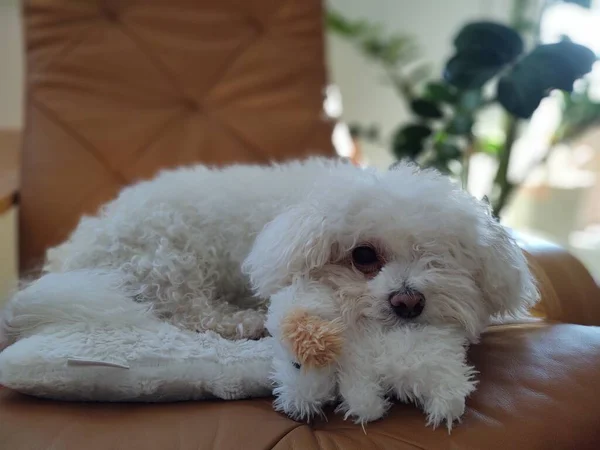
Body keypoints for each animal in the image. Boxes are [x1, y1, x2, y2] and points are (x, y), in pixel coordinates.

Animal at [0, 159, 536, 428]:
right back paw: (247, 319)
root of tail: (74, 253)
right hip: (167, 255)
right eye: (363, 255)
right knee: (186, 311)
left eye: (439, 258)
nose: (407, 302)